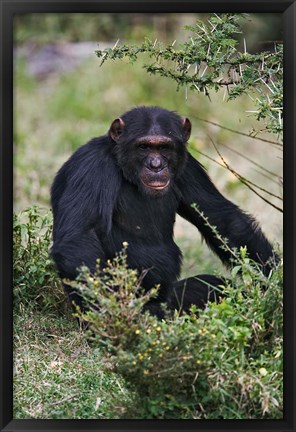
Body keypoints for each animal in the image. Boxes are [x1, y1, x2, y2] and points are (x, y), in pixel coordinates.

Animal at [51, 106, 276, 318]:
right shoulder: (91, 167)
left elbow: (221, 219)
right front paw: (117, 314)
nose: (156, 165)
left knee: (214, 286)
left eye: (164, 147)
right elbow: (78, 239)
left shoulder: (188, 166)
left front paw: (272, 286)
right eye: (143, 147)